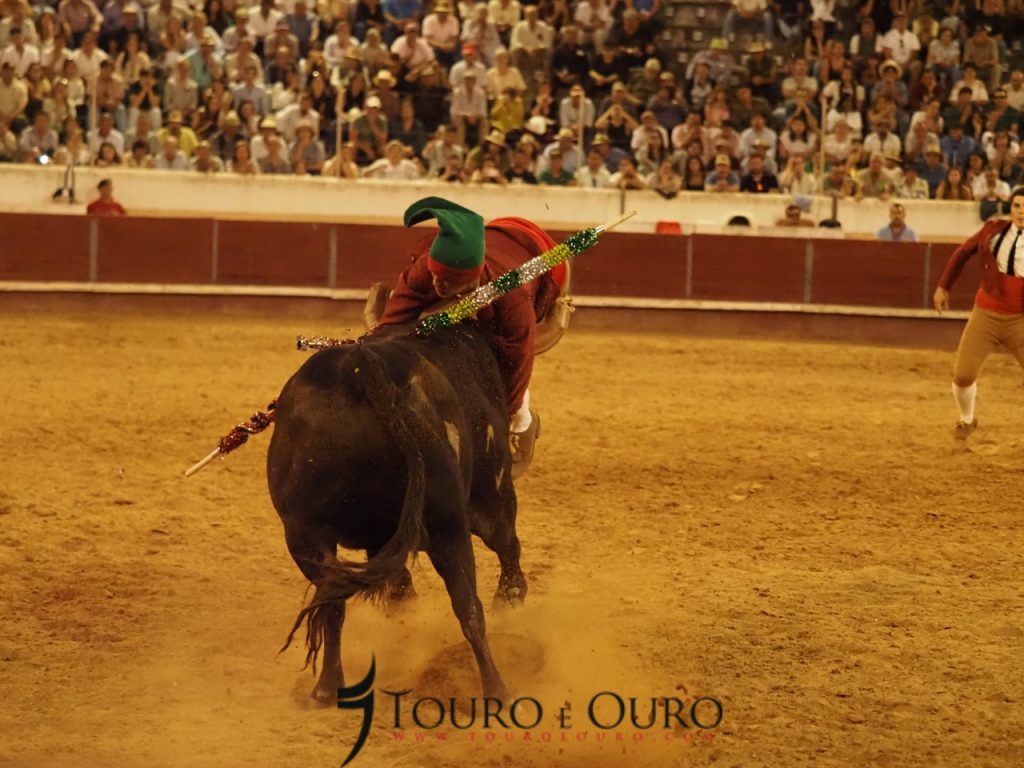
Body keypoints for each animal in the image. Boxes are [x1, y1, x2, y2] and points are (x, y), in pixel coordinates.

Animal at [267, 321, 526, 703]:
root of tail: (361, 368)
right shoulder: (489, 492)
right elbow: (507, 546)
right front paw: (511, 597)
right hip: (449, 523)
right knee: (470, 601)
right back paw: (496, 685)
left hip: (305, 536)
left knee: (333, 602)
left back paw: (327, 688)